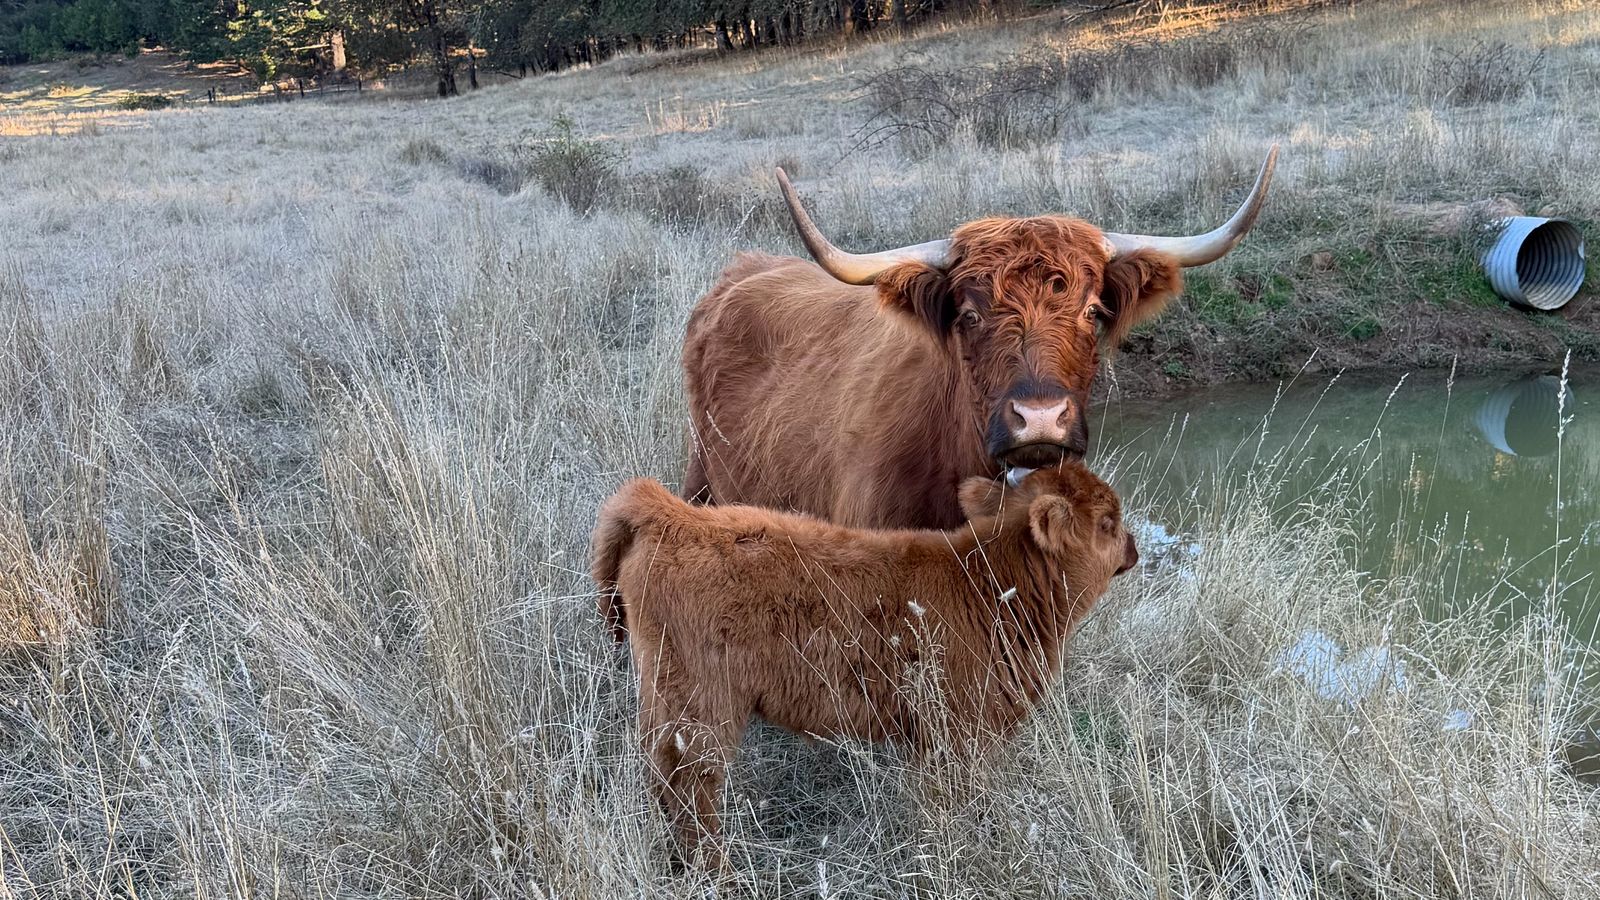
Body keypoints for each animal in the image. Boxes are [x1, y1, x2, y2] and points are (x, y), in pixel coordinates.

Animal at [590, 463, 1138, 866]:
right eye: (1107, 523)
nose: (1134, 549)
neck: (987, 585)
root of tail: (673, 515)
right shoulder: (958, 732)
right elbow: (952, 801)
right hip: (702, 706)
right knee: (690, 786)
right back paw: (715, 870)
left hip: (666, 697)